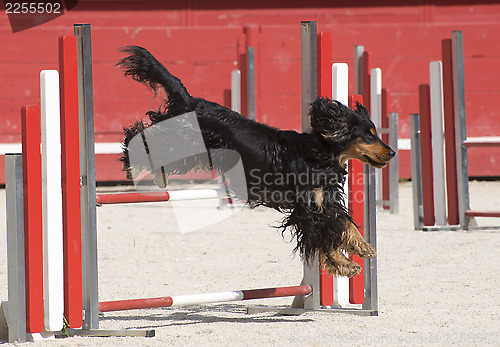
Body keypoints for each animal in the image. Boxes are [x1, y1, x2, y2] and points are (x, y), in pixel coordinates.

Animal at [117, 47, 394, 280]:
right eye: (369, 136)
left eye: (375, 133)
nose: (392, 152)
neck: (319, 154)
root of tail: (192, 100)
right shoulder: (306, 208)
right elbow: (323, 237)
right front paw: (345, 263)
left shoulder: (323, 202)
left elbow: (342, 223)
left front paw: (361, 246)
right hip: (181, 140)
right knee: (138, 135)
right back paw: (133, 165)